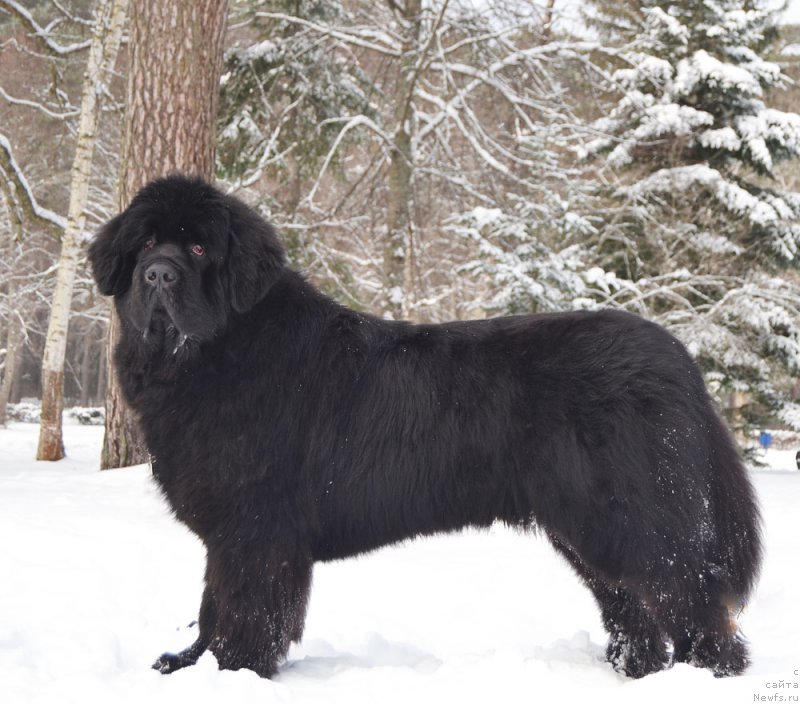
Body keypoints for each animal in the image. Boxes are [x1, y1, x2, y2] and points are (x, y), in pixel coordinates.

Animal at [89, 173, 764, 680]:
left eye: (199, 249)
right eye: (145, 246)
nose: (158, 276)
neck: (214, 353)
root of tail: (675, 354)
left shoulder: (255, 529)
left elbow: (243, 609)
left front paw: (234, 673)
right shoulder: (230, 533)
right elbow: (211, 604)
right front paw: (188, 664)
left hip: (631, 516)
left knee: (692, 599)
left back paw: (708, 673)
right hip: (585, 527)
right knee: (635, 608)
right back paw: (634, 670)